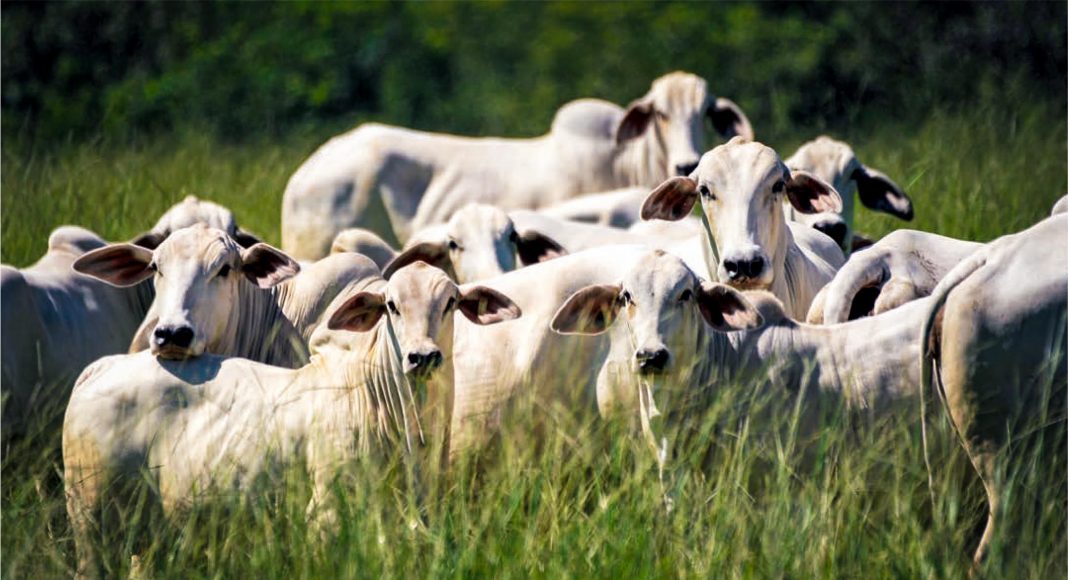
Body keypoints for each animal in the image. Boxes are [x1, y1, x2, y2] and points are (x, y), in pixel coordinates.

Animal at [63, 261, 521, 577]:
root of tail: (103, 367)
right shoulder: (326, 521)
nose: (423, 356)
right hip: (92, 522)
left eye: (451, 303)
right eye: (391, 306)